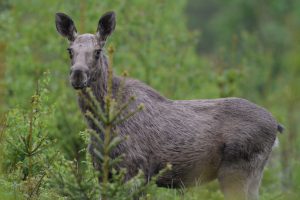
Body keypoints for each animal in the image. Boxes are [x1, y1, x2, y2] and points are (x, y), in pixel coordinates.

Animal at [55, 11, 284, 200]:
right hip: (252, 175)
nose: (77, 74)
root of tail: (276, 126)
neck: (100, 122)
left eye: (97, 51)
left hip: (237, 170)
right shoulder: (103, 171)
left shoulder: (134, 171)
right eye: (70, 50)